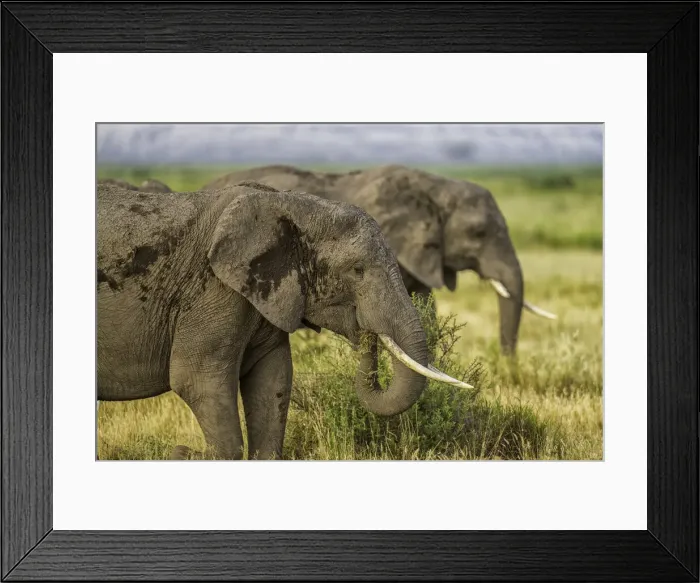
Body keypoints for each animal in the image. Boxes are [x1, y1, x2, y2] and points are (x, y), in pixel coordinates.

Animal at [96, 181, 471, 460]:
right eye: (357, 270)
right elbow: (196, 379)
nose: (366, 334)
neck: (292, 206)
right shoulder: (212, 289)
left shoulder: (265, 292)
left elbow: (272, 379)